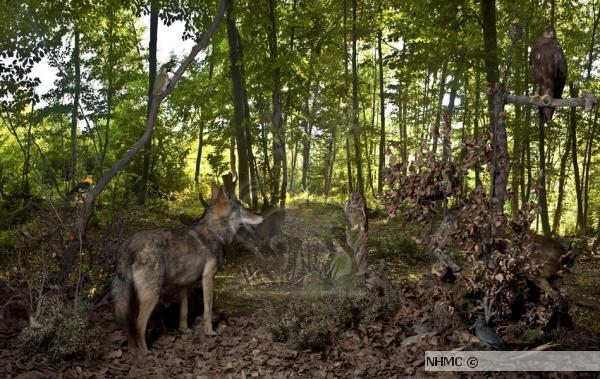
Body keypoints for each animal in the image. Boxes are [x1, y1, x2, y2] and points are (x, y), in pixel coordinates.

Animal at [112, 186, 262, 354]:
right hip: (151, 296)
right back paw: (145, 353)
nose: (261, 217)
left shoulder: (182, 284)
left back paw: (132, 351)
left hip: (133, 299)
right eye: (243, 209)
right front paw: (209, 332)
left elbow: (183, 311)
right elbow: (208, 309)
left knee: (129, 324)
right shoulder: (208, 277)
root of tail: (128, 245)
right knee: (138, 326)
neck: (216, 232)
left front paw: (184, 330)